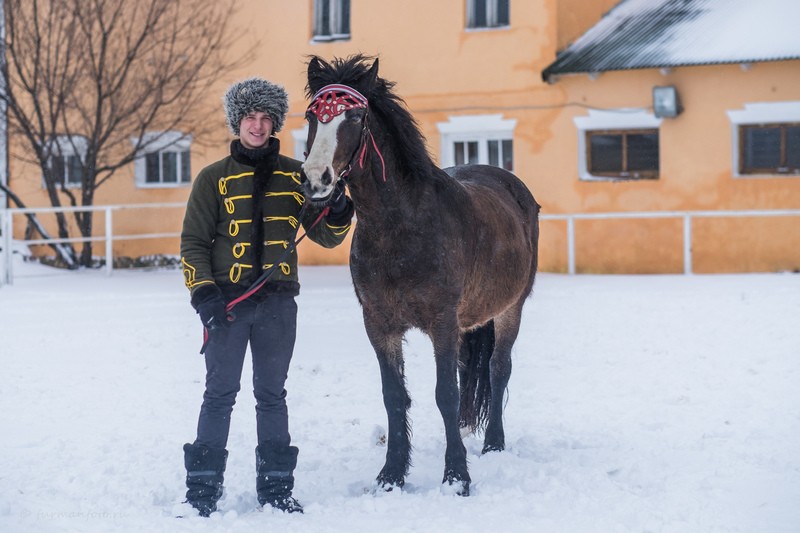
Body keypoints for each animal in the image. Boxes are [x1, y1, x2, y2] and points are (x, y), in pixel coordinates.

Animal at [304, 55, 540, 494]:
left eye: (356, 116)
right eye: (312, 116)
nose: (315, 180)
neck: (400, 226)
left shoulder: (441, 321)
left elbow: (445, 393)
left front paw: (457, 477)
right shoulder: (379, 323)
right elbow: (394, 395)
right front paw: (391, 475)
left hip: (510, 309)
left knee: (498, 369)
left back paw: (493, 444)